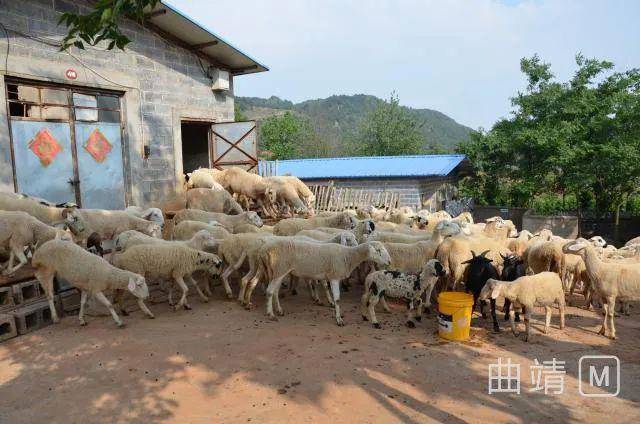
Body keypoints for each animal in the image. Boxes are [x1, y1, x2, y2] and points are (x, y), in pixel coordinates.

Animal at [256, 240, 390, 326]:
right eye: (378, 250)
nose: (389, 261)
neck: (348, 256)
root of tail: (263, 250)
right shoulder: (335, 277)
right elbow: (337, 299)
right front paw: (339, 319)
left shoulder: (331, 276)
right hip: (280, 268)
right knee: (269, 291)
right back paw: (271, 314)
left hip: (279, 271)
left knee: (275, 291)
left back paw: (279, 310)